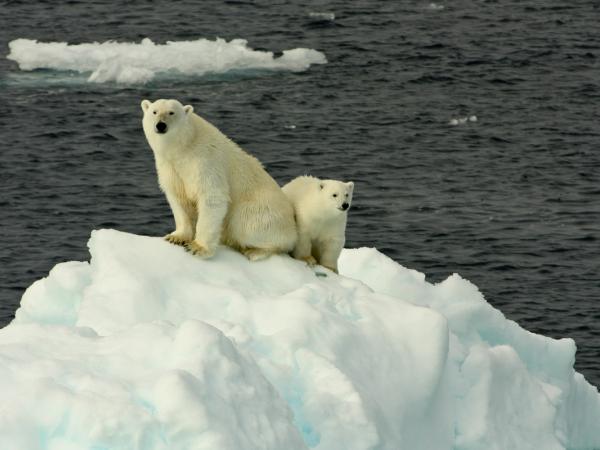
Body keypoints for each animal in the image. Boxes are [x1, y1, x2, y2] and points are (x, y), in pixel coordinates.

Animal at [141, 98, 300, 260]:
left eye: (171, 112)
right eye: (154, 111)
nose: (160, 125)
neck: (184, 147)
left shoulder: (205, 161)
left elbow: (212, 197)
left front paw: (198, 247)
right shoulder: (170, 167)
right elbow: (179, 198)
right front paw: (176, 237)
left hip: (262, 212)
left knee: (245, 224)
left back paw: (255, 251)